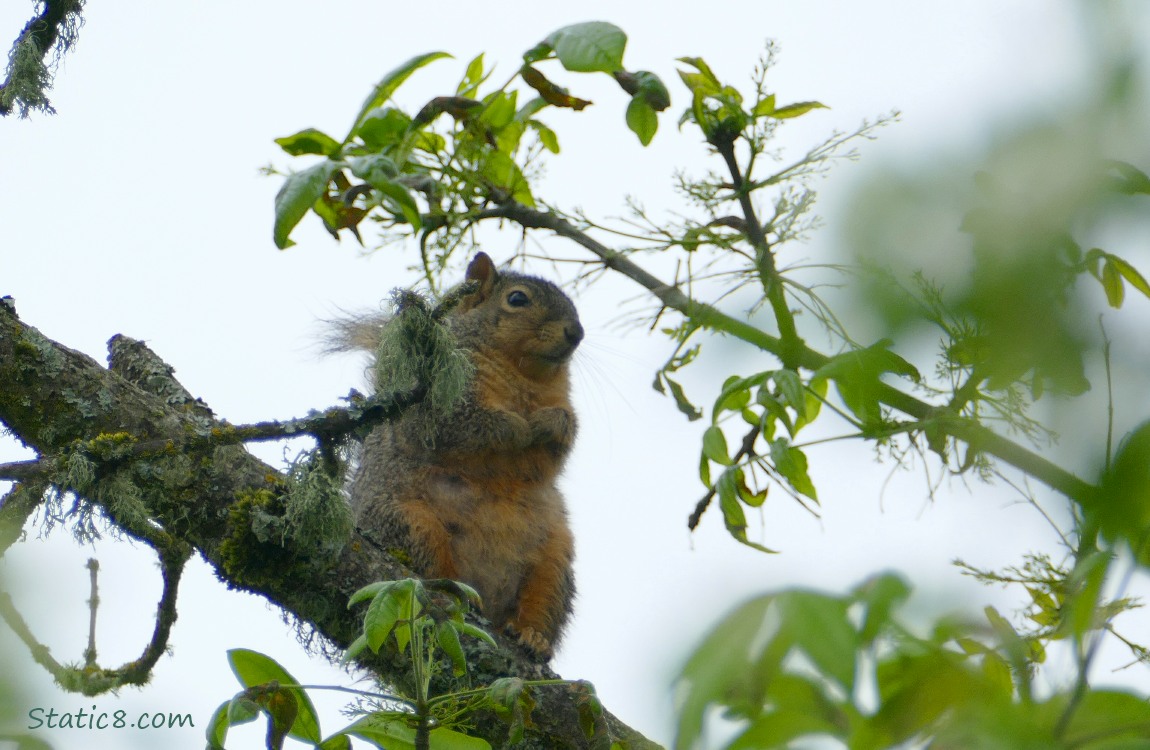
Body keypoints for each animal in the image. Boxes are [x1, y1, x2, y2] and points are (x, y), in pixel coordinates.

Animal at [342, 251, 584, 657]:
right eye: (517, 299)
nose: (576, 333)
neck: (525, 376)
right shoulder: (438, 401)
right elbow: (467, 425)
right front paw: (517, 427)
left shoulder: (561, 407)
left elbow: (563, 438)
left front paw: (548, 422)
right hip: (409, 523)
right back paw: (459, 594)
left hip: (554, 563)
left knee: (540, 605)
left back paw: (531, 636)